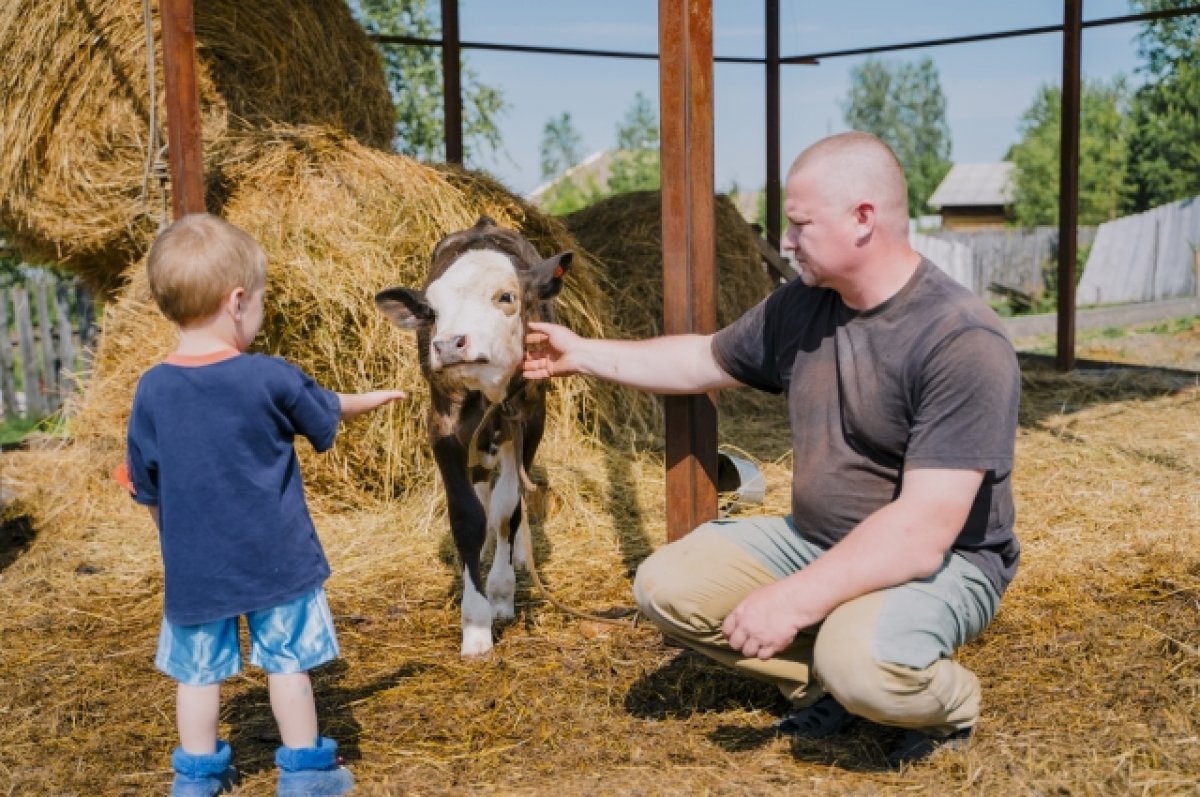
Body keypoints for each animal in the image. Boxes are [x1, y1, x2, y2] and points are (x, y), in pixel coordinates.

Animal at [374, 218, 571, 652]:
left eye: (506, 297)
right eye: (432, 312)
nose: (449, 345)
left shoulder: (530, 420)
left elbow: (508, 509)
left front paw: (500, 595)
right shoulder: (443, 426)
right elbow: (467, 514)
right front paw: (476, 624)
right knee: (481, 486)